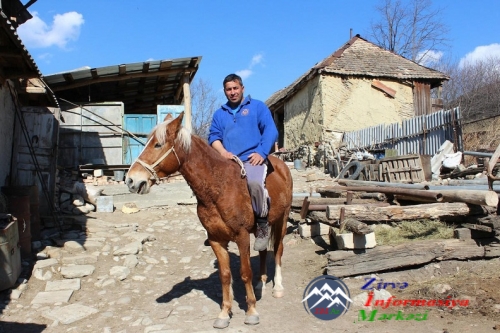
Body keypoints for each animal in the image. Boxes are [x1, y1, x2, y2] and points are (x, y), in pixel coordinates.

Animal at [125, 111, 294, 326]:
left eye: (157, 145)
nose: (131, 180)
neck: (219, 187)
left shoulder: (242, 237)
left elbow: (245, 273)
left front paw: (251, 311)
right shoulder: (216, 239)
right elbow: (225, 275)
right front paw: (224, 313)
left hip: (282, 219)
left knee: (278, 250)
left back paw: (277, 287)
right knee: (264, 251)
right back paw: (260, 283)